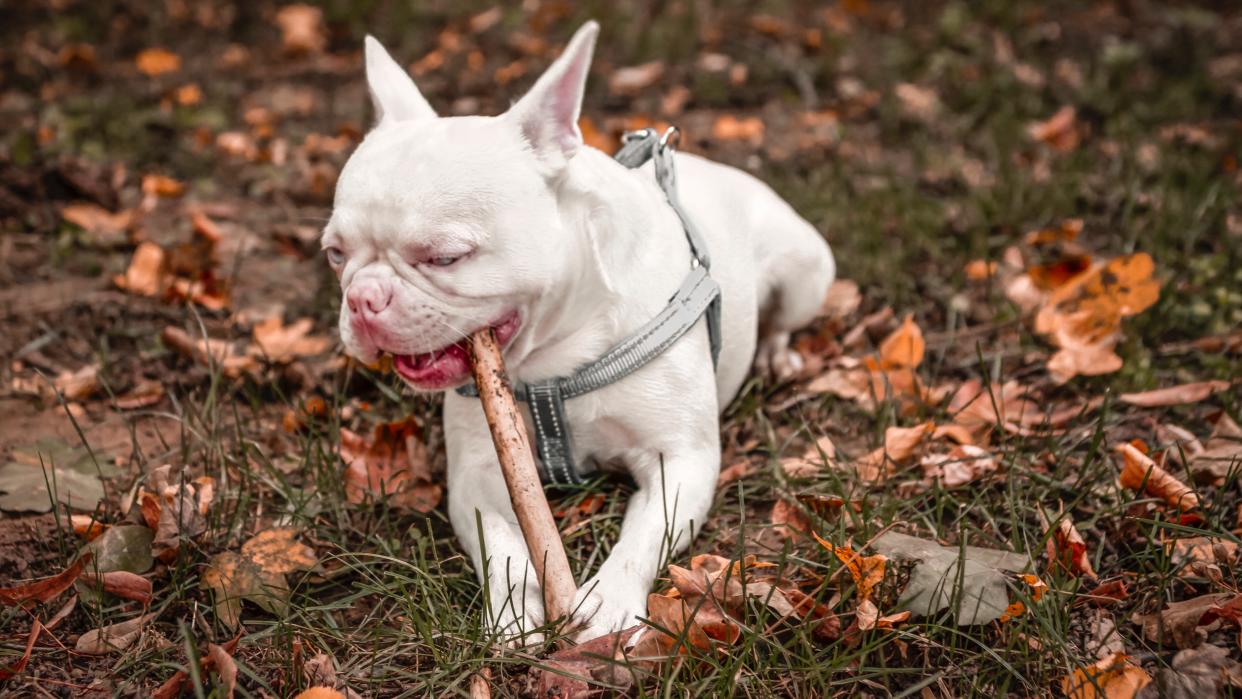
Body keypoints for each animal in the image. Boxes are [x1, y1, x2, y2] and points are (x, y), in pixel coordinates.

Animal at [325, 21, 839, 640]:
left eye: (446, 257)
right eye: (334, 255)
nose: (364, 297)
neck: (555, 358)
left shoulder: (681, 460)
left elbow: (645, 533)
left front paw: (611, 602)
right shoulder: (479, 475)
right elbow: (504, 541)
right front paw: (514, 608)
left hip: (805, 270)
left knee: (783, 320)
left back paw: (776, 356)